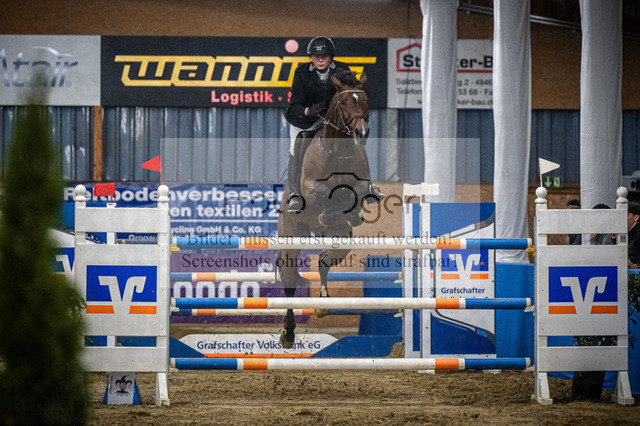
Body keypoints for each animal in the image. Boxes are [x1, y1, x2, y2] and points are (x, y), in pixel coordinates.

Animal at [277, 69, 376, 348]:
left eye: (365, 100)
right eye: (342, 101)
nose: (361, 132)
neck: (339, 152)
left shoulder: (361, 183)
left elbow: (357, 192)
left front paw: (347, 211)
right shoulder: (311, 187)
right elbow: (321, 191)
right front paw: (327, 209)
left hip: (341, 239)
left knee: (323, 260)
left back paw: (322, 304)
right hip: (291, 237)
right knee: (289, 284)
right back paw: (288, 333)